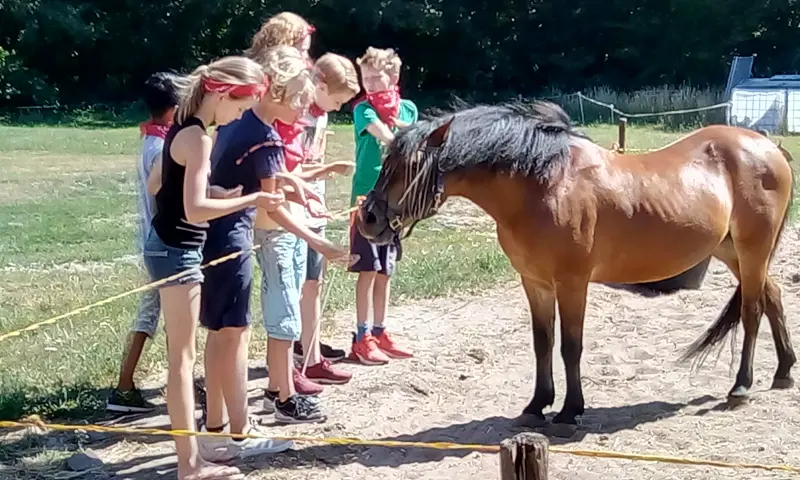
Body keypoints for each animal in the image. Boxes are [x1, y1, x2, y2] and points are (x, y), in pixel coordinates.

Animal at [355, 100, 796, 425]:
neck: (544, 184)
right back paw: (784, 371)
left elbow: (571, 345)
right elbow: (542, 343)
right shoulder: (534, 282)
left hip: (751, 250)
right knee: (772, 296)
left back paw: (741, 387)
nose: (369, 218)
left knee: (753, 309)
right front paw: (537, 404)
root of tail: (768, 146)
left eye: (409, 166)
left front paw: (570, 410)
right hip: (731, 251)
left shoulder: (571, 282)